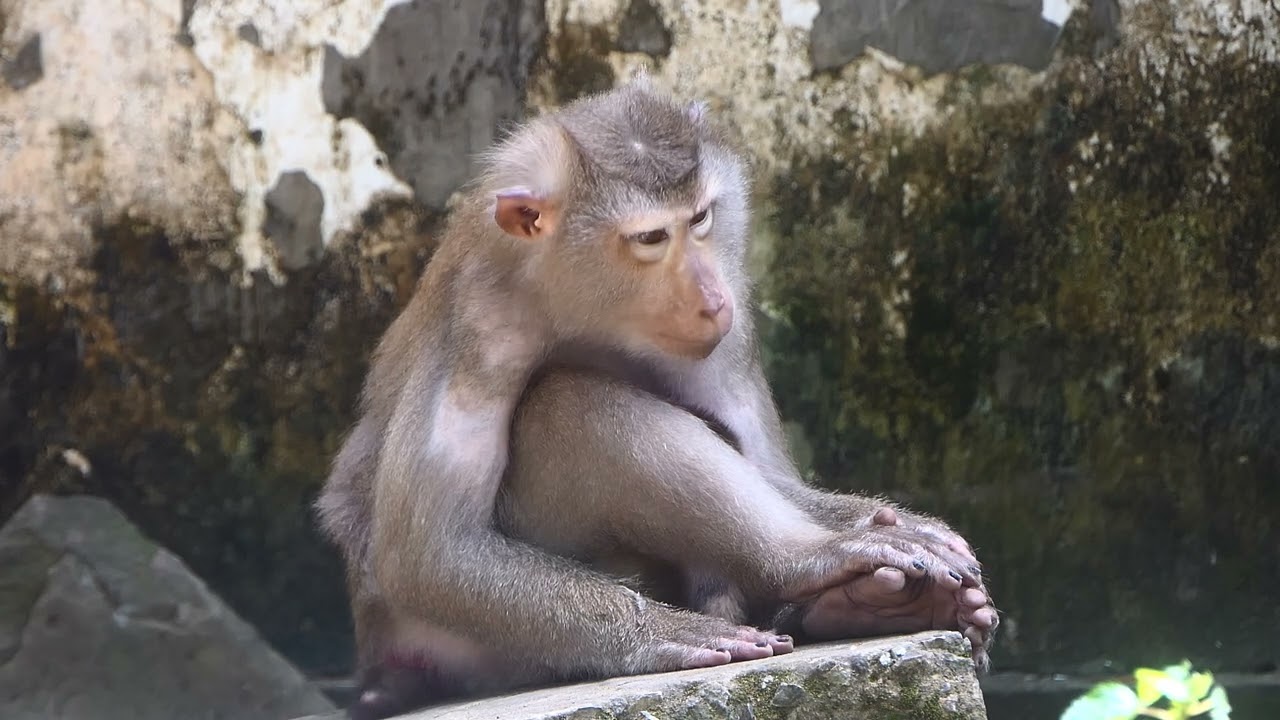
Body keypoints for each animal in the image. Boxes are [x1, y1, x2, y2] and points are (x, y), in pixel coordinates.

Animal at [315, 81, 996, 720]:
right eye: (648, 238)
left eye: (700, 219)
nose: (711, 299)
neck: (582, 307)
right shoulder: (480, 321)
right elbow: (430, 553)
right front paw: (658, 630)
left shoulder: (732, 313)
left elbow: (767, 463)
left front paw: (879, 520)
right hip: (472, 649)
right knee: (570, 402)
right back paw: (806, 561)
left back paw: (857, 601)